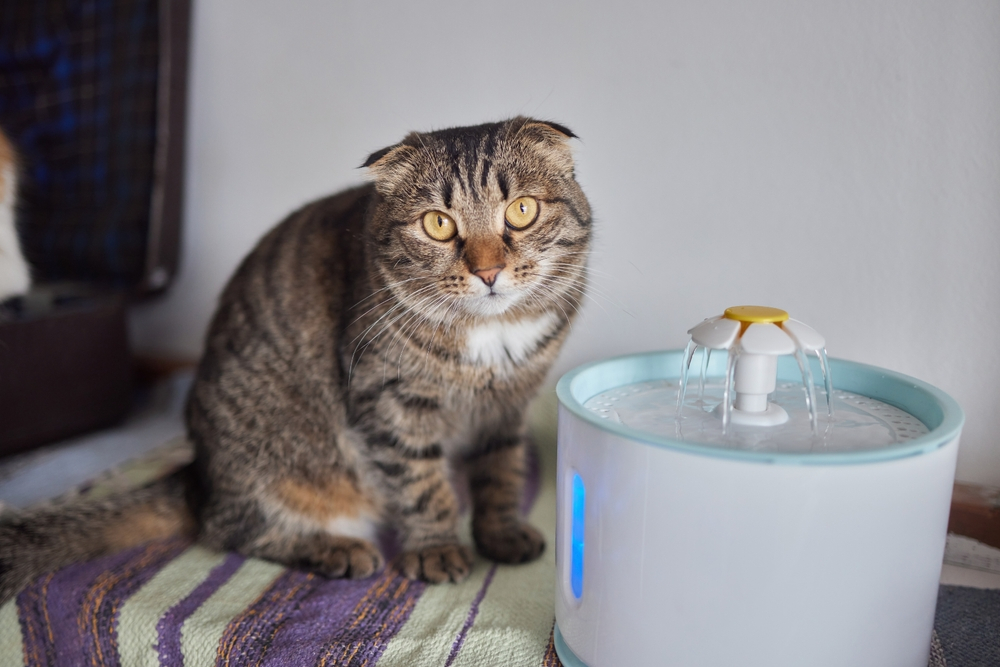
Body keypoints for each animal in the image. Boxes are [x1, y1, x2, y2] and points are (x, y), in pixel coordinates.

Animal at [0, 116, 588, 600]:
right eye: (438, 224)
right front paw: (437, 547)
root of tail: (199, 476)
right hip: (275, 470)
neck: (492, 338)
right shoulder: (388, 402)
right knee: (228, 529)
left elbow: (502, 472)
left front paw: (501, 534)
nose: (488, 271)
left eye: (521, 210)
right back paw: (335, 548)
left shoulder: (508, 407)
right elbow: (423, 485)